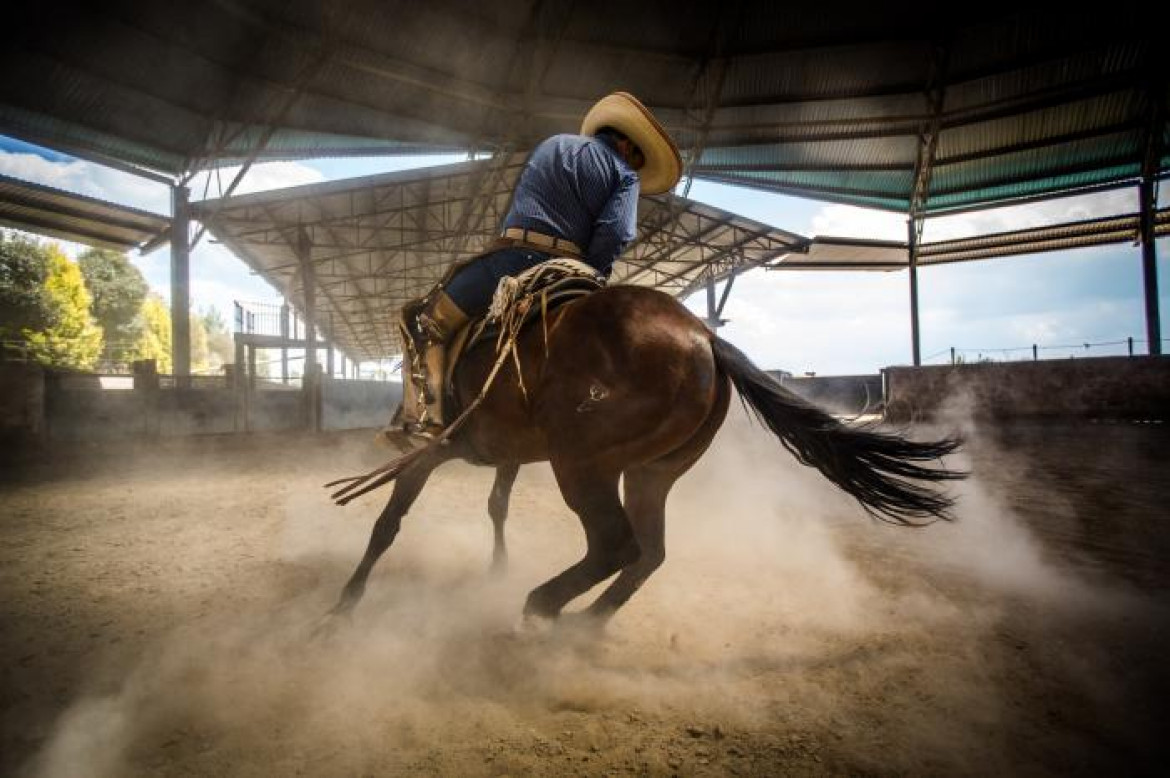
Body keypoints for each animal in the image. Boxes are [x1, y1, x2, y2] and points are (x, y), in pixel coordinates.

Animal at [327, 281, 959, 622]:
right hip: (652, 472)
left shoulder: (432, 451)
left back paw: (543, 606)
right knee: (649, 552)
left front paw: (346, 600)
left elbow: (388, 520)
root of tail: (704, 338)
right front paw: (496, 567)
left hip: (582, 467)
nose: (404, 417)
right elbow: (496, 505)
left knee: (616, 545)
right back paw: (580, 624)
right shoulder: (505, 454)